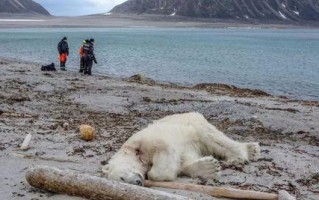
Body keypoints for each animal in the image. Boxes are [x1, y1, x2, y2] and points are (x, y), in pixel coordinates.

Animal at [103, 111, 262, 185]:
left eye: (122, 177)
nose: (137, 182)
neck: (132, 151)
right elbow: (185, 160)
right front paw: (210, 167)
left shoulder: (146, 140)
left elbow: (163, 153)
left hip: (193, 123)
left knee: (213, 137)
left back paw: (244, 154)